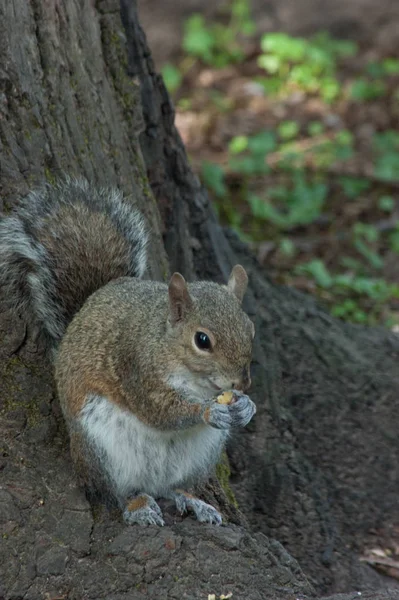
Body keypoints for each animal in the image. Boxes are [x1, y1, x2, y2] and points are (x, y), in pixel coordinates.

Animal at [0, 178, 256, 524]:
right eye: (202, 340)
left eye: (250, 329)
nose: (242, 383)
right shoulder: (135, 366)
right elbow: (160, 411)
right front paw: (207, 411)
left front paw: (246, 407)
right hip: (102, 450)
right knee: (117, 492)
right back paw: (138, 506)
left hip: (201, 455)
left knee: (170, 487)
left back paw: (194, 500)